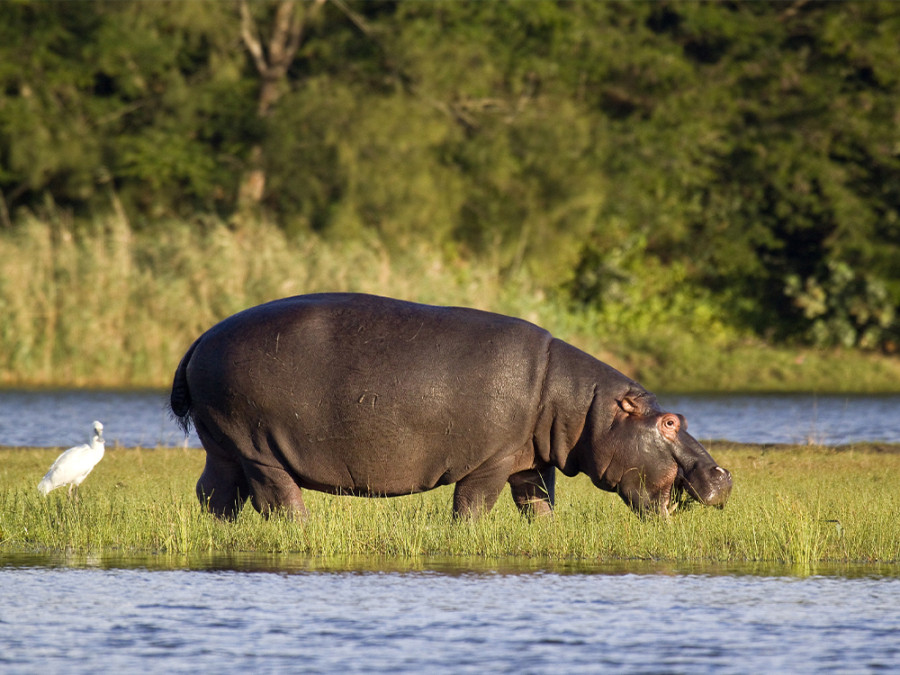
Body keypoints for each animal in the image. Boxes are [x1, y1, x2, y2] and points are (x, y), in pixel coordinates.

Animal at [169, 294, 732, 520]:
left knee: (214, 493)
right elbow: (473, 508)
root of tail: (198, 340)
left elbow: (538, 506)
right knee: (278, 500)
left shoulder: (530, 462)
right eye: (669, 422)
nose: (723, 475)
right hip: (257, 447)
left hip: (222, 443)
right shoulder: (490, 462)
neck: (581, 406)